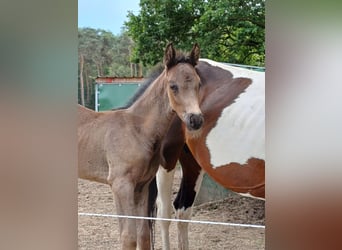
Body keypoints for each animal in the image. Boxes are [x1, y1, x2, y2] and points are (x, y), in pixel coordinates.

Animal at [77, 43, 203, 250]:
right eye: (173, 86)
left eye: (198, 84)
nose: (196, 120)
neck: (137, 130)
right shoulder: (121, 185)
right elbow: (128, 236)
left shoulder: (142, 186)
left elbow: (143, 235)